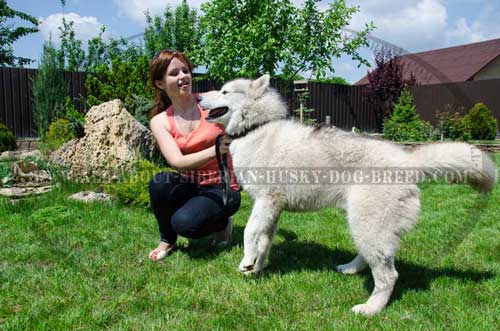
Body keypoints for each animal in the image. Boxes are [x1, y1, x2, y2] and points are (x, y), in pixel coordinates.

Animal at [197, 75, 498, 316]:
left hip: (367, 224)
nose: (198, 96)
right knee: (371, 258)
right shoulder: (272, 209)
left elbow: (250, 233)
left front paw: (247, 262)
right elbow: (264, 241)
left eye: (224, 91)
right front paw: (257, 268)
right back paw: (352, 268)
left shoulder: (266, 201)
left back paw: (371, 309)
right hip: (361, 222)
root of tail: (406, 159)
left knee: (388, 275)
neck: (256, 129)